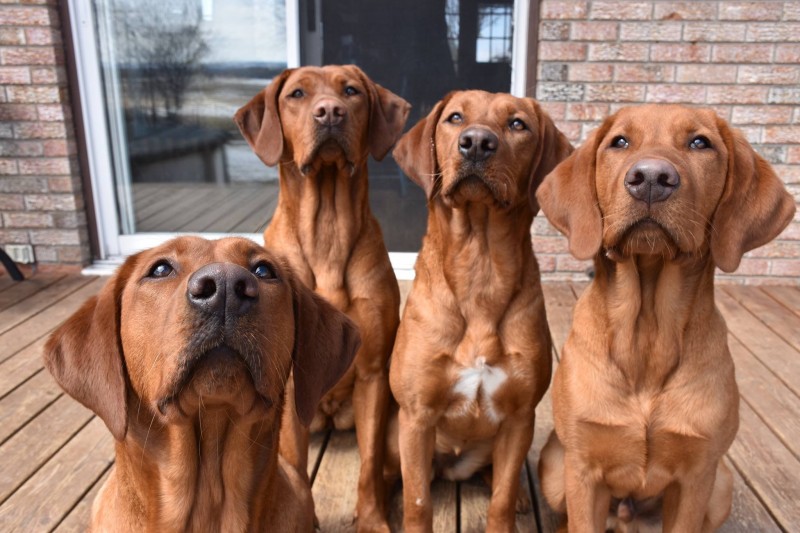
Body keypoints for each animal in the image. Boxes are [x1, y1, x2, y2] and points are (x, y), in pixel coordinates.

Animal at [231, 65, 406, 528]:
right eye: (297, 94)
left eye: (352, 91)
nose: (330, 112)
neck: (327, 229)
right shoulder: (290, 382)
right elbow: (293, 463)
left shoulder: (373, 373)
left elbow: (370, 465)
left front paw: (373, 519)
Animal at [390, 89, 572, 528]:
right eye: (455, 118)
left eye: (518, 124)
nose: (476, 142)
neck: (480, 268)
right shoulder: (416, 417)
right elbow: (419, 502)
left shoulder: (520, 417)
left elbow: (500, 498)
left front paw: (509, 505)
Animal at [536, 105, 792, 532]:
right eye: (619, 142)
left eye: (700, 143)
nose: (652, 179)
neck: (647, 333)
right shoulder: (583, 469)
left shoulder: (696, 478)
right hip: (556, 469)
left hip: (721, 485)